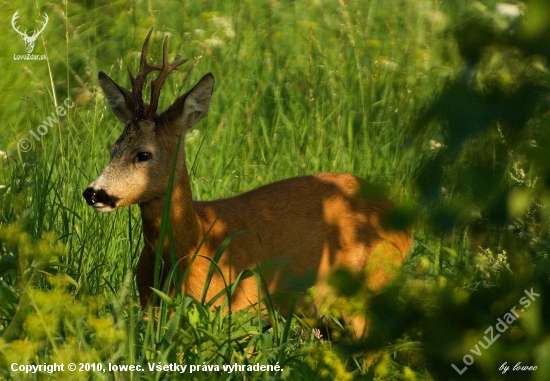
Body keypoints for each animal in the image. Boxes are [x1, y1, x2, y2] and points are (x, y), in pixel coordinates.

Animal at [83, 29, 414, 332]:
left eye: (143, 154)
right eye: (112, 148)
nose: (93, 193)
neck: (189, 247)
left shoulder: (239, 308)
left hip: (370, 285)